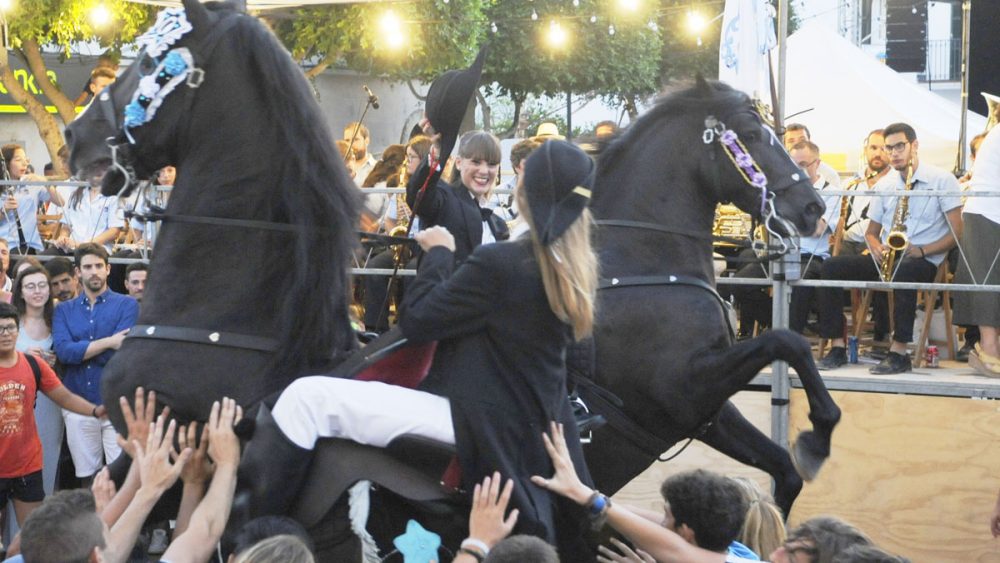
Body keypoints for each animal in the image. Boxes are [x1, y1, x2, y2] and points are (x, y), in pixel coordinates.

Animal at [584, 79, 844, 516]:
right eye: (752, 135)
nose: (813, 207)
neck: (642, 265)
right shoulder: (686, 389)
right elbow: (786, 340)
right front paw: (819, 435)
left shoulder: (708, 415)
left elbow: (786, 471)